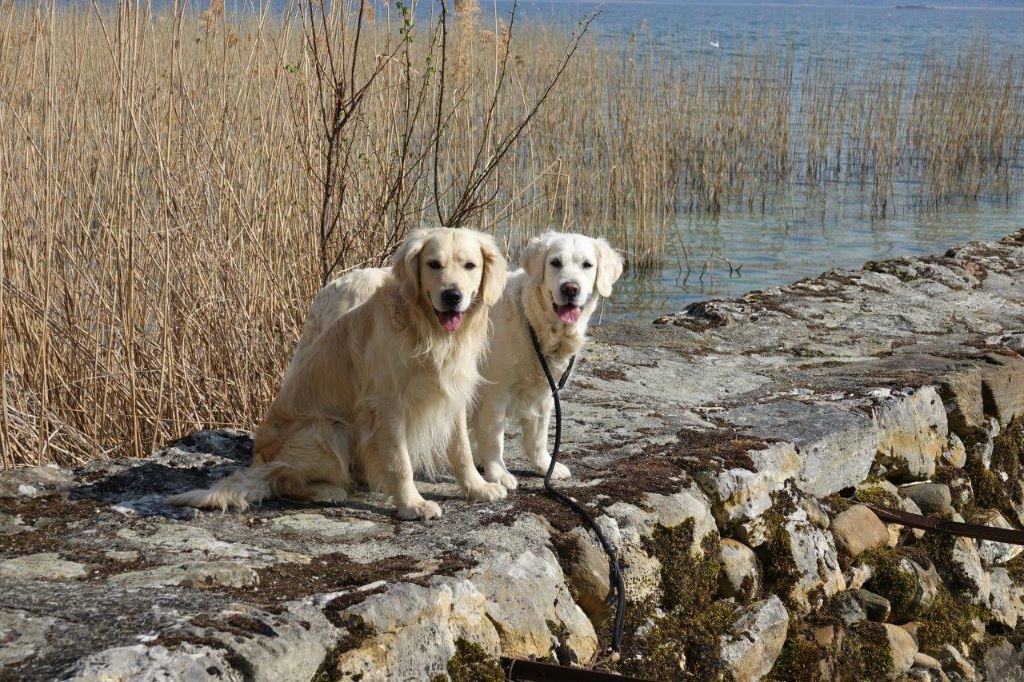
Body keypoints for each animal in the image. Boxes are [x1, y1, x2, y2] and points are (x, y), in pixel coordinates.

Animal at [166, 225, 512, 518]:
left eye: (470, 266)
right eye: (433, 264)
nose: (452, 296)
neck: (427, 331)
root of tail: (260, 456)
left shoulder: (452, 395)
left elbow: (461, 450)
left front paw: (478, 488)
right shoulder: (387, 404)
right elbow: (399, 461)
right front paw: (412, 505)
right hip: (328, 430)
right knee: (282, 478)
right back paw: (327, 491)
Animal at [468, 233, 622, 489]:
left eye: (587, 265)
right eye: (555, 262)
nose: (570, 288)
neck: (533, 322)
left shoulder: (544, 392)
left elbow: (538, 437)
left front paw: (545, 466)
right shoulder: (494, 393)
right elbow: (493, 438)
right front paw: (498, 473)